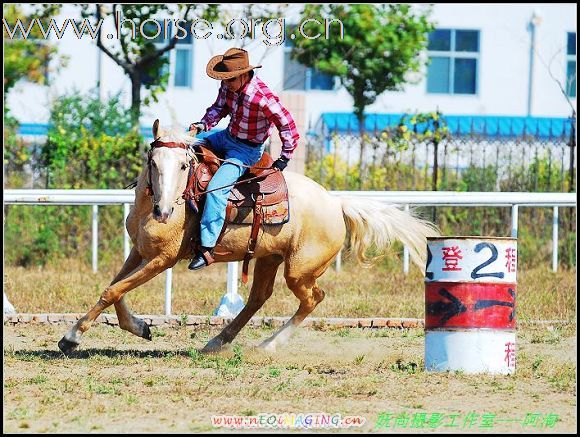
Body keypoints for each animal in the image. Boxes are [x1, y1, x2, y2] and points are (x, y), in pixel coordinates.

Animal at [59, 119, 440, 354]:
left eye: (184, 165)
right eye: (153, 162)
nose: (164, 212)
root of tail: (336, 203)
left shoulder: (162, 259)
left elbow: (114, 290)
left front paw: (71, 337)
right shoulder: (138, 252)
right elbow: (114, 289)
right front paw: (139, 327)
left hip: (299, 270)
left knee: (312, 298)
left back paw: (269, 345)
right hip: (269, 258)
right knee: (258, 298)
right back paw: (218, 341)